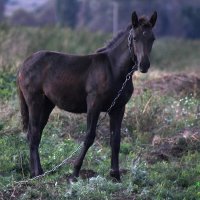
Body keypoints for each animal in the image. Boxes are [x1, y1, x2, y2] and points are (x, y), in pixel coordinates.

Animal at [17, 10, 157, 181]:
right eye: (135, 37)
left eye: (152, 38)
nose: (144, 65)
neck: (113, 69)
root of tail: (24, 64)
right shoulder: (94, 105)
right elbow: (89, 136)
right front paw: (75, 172)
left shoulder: (118, 108)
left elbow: (115, 140)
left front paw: (115, 176)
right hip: (34, 100)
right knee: (34, 133)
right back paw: (37, 174)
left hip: (47, 104)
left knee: (35, 133)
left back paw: (36, 172)